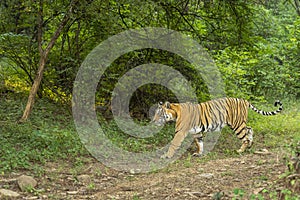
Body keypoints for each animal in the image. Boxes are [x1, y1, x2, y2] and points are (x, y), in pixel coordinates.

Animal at [154, 97, 282, 159]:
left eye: (159, 114)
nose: (153, 120)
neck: (176, 113)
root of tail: (244, 100)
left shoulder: (180, 132)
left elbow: (173, 144)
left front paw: (166, 156)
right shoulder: (197, 132)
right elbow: (199, 143)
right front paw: (199, 153)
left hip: (237, 124)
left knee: (245, 136)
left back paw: (240, 150)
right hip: (241, 123)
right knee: (250, 129)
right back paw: (250, 145)